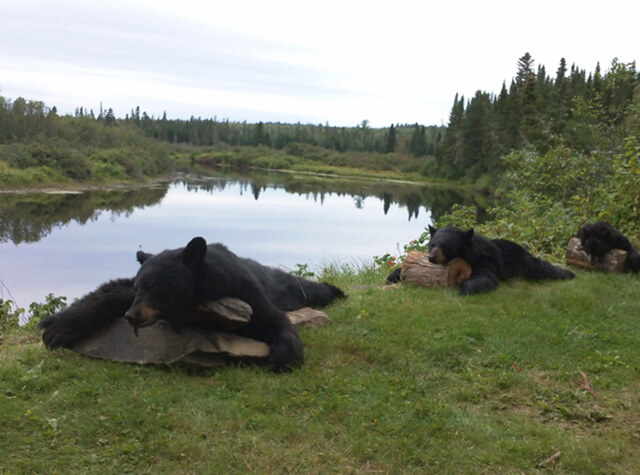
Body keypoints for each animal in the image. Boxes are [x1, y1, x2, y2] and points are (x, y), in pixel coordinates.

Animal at [40, 238, 344, 372]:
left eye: (158, 288)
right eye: (140, 288)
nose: (132, 316)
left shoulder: (245, 290)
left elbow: (272, 319)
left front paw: (284, 357)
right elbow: (110, 290)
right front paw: (56, 327)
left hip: (283, 285)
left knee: (305, 288)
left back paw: (335, 290)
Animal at [408, 226, 576, 296]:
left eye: (445, 246)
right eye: (432, 244)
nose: (431, 257)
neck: (472, 254)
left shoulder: (487, 260)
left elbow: (485, 277)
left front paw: (466, 289)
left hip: (525, 263)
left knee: (543, 269)